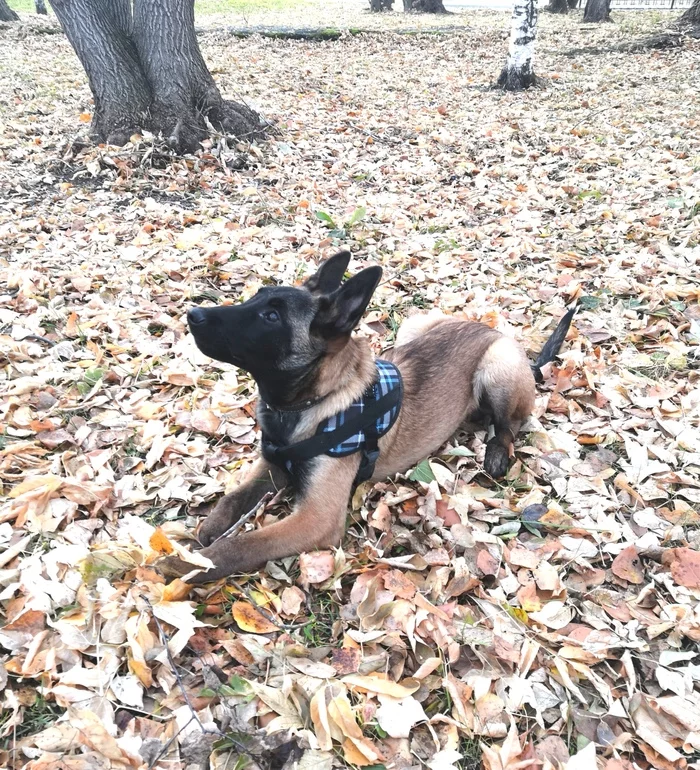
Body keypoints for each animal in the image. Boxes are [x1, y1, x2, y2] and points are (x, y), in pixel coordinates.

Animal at [175, 252, 576, 584]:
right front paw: (209, 529)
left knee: (511, 424)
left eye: (271, 316)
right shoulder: (274, 464)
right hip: (415, 325)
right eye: (255, 297)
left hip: (498, 366)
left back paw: (496, 450)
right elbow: (233, 498)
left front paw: (186, 565)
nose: (193, 314)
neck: (310, 403)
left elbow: (243, 545)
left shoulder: (316, 518)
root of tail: (490, 328)